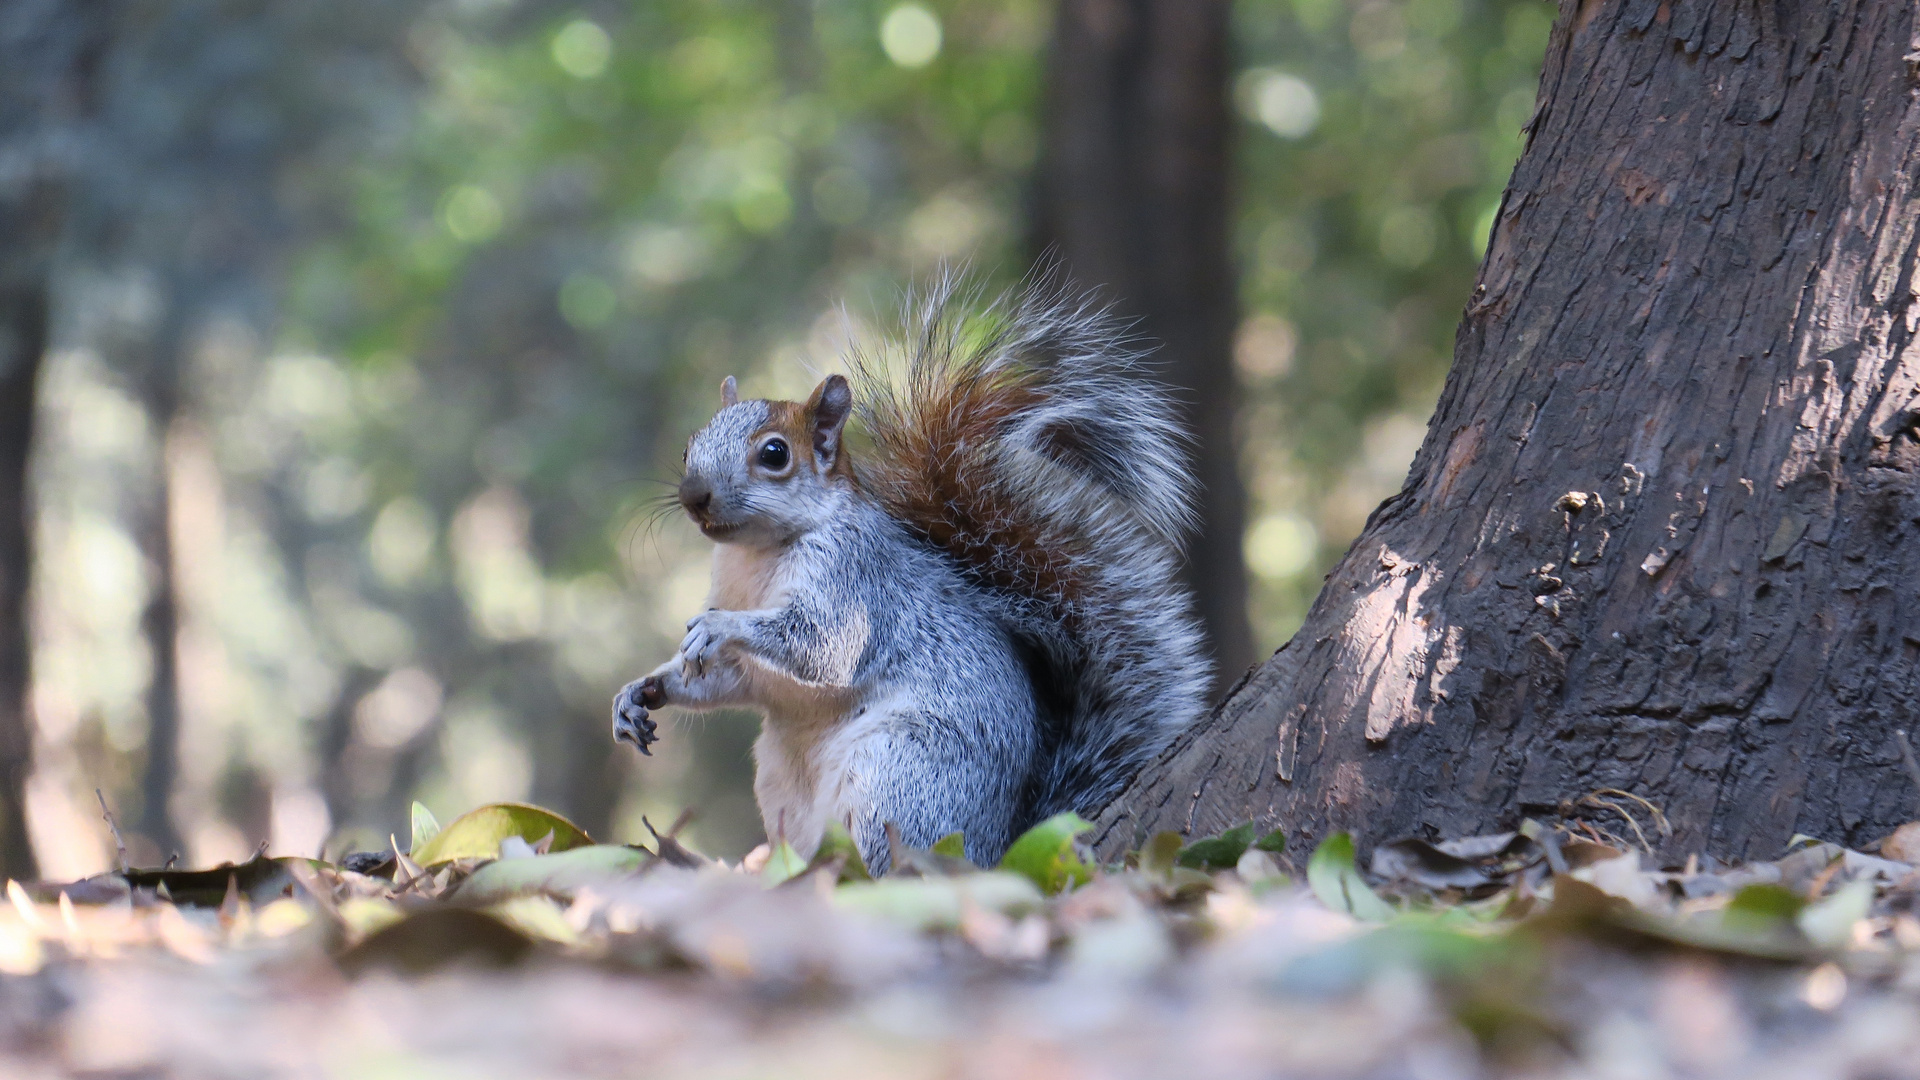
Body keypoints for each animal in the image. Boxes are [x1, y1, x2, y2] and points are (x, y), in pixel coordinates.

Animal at [614, 274, 1205, 864]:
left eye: (775, 454)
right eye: (690, 445)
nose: (693, 496)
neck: (758, 554)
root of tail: (996, 847)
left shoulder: (852, 579)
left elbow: (824, 645)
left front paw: (719, 627)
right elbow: (729, 679)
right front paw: (640, 692)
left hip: (899, 777)